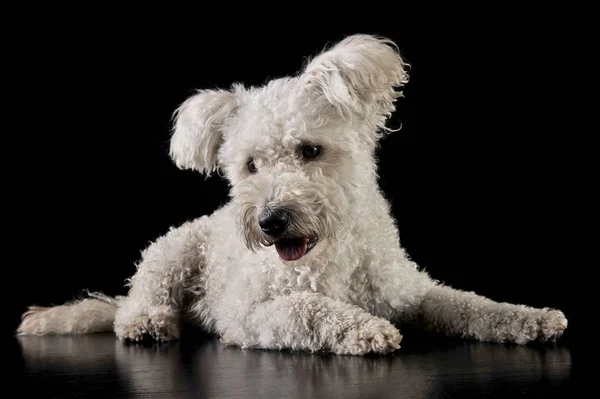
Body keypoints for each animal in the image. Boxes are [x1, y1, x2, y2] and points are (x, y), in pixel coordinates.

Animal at [15, 33, 568, 354]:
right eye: (250, 166)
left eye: (310, 150)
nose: (271, 221)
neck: (334, 256)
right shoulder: (248, 316)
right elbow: (307, 307)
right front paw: (364, 329)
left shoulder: (413, 293)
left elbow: (471, 305)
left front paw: (531, 318)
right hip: (171, 250)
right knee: (137, 300)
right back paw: (148, 322)